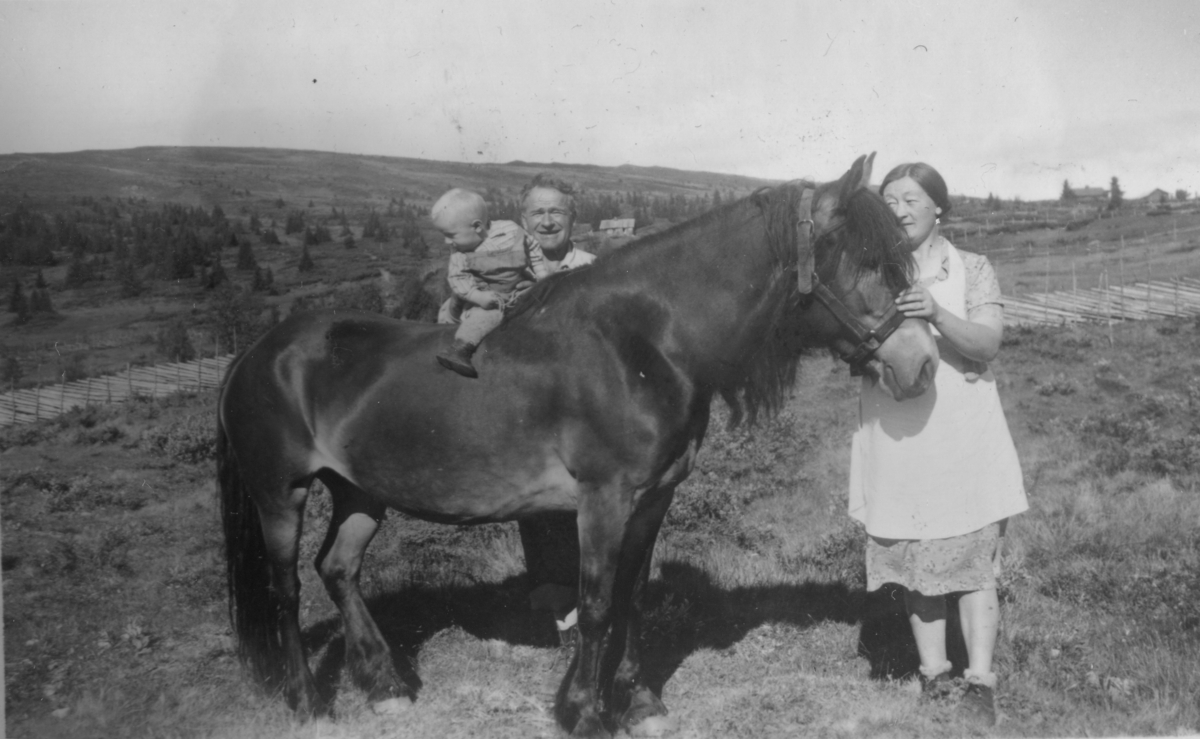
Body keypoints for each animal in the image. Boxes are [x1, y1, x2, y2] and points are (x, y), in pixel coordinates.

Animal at [220, 152, 940, 734]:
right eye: (868, 261)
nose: (921, 365)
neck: (642, 344)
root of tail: (256, 352)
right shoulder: (603, 500)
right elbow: (593, 605)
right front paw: (588, 714)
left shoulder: (653, 499)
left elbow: (630, 599)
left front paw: (626, 701)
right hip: (281, 492)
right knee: (287, 588)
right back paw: (308, 701)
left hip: (360, 491)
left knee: (338, 569)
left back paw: (386, 685)